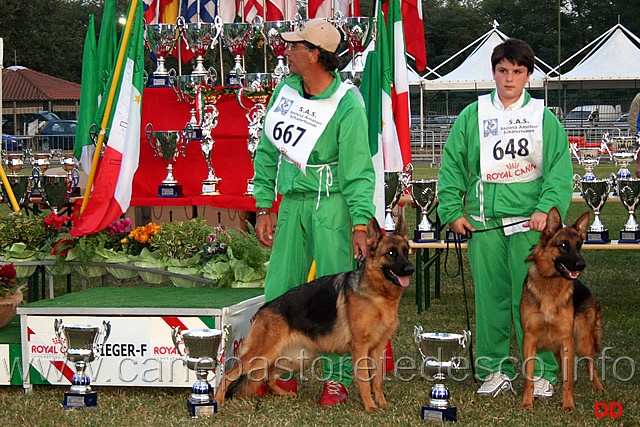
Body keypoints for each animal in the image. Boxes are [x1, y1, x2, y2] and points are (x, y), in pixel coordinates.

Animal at [215, 217, 416, 412]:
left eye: (406, 251)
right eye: (391, 253)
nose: (410, 269)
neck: (378, 295)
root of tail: (263, 309)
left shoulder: (378, 349)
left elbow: (378, 381)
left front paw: (381, 403)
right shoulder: (360, 347)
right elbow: (365, 381)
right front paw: (370, 407)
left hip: (296, 358)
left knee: (268, 376)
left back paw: (284, 393)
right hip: (261, 355)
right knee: (230, 373)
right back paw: (217, 401)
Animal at [520, 209, 604, 412]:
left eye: (579, 245)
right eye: (564, 245)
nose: (582, 265)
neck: (551, 283)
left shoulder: (567, 341)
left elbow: (568, 379)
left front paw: (568, 404)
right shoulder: (529, 339)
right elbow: (528, 376)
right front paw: (527, 402)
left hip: (582, 343)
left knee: (591, 364)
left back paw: (598, 387)